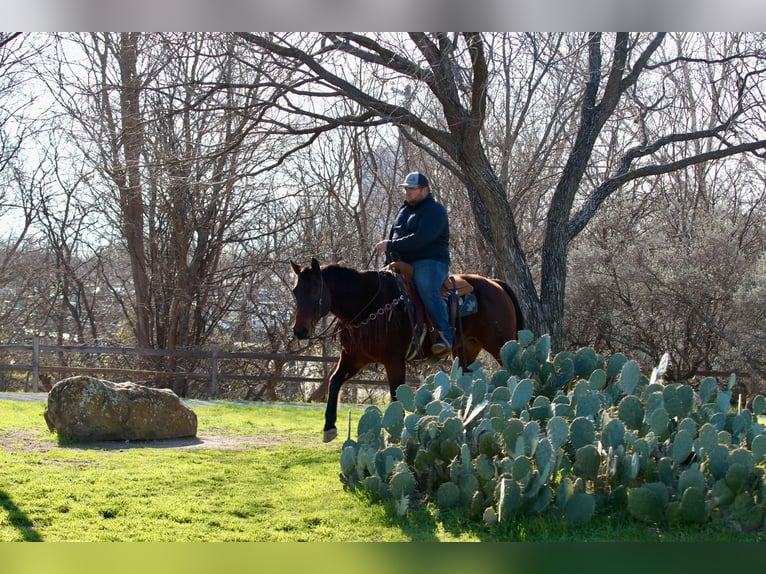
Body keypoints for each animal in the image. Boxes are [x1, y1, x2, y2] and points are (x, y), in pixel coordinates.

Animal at [292, 258, 524, 444]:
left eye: (314, 289)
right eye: (295, 292)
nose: (299, 330)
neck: (369, 303)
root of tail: (496, 284)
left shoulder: (394, 360)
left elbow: (396, 392)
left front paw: (394, 434)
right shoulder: (354, 358)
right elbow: (335, 381)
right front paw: (329, 427)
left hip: (501, 344)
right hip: (466, 350)